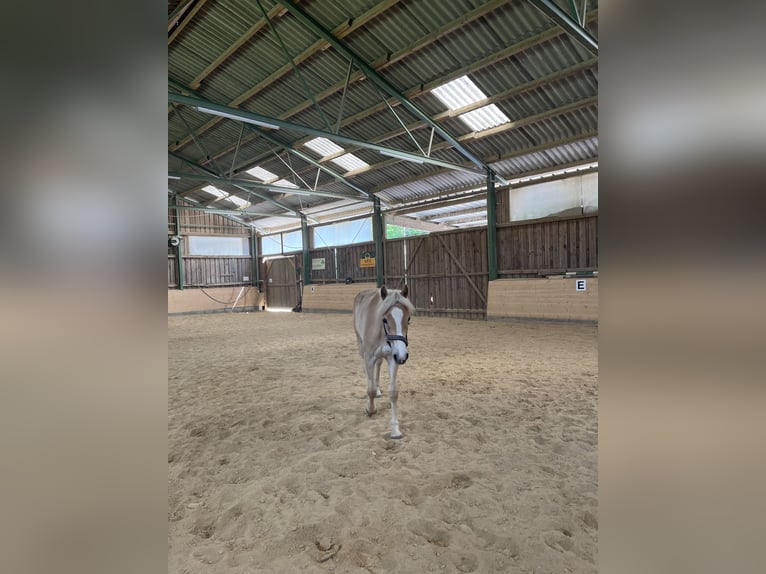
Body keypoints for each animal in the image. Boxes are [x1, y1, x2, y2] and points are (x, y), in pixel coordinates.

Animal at [352, 284, 414, 440]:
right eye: (385, 319)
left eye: (408, 319)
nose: (403, 356)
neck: (382, 333)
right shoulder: (369, 357)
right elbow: (370, 390)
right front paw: (370, 409)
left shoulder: (393, 357)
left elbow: (393, 393)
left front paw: (395, 430)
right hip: (360, 346)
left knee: (378, 365)